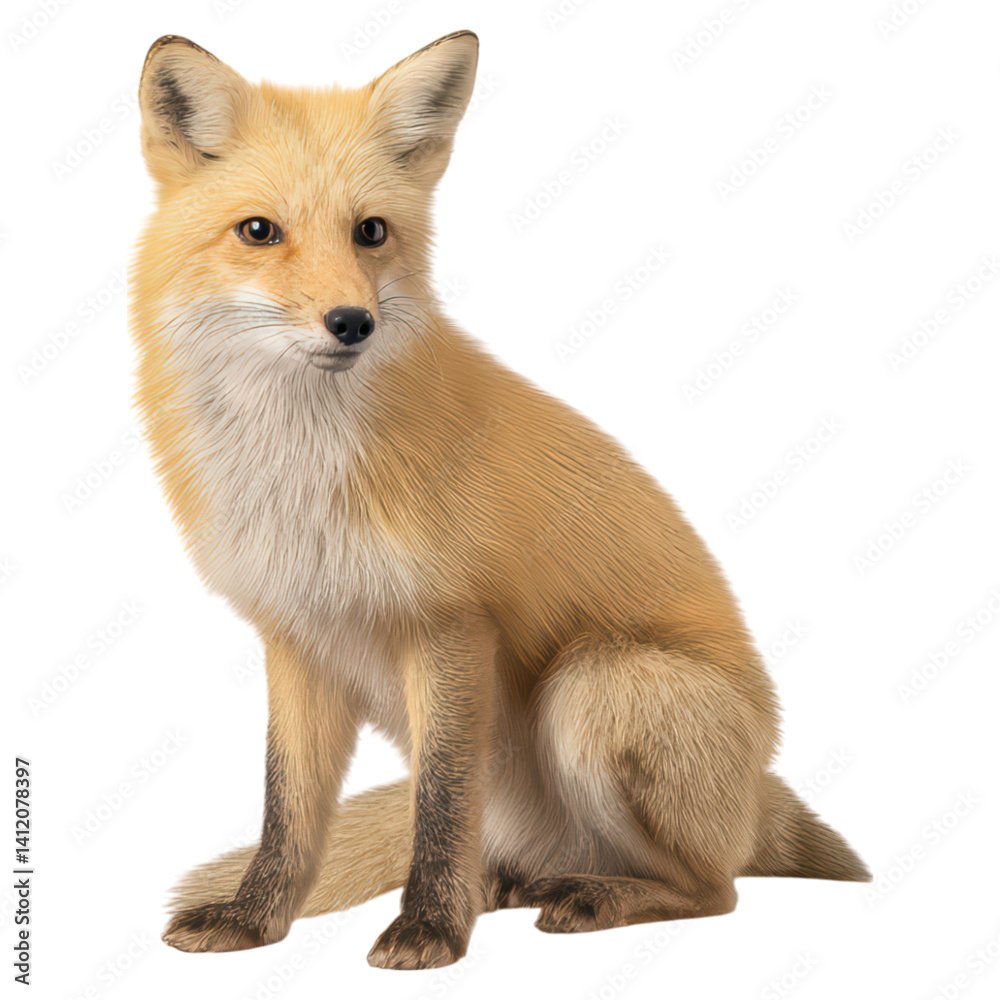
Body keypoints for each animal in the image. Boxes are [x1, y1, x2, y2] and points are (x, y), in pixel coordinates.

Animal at [130, 30, 870, 971]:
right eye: (259, 232)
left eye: (372, 232)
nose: (352, 323)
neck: (299, 474)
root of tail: (761, 792)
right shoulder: (297, 638)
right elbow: (287, 813)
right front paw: (255, 920)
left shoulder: (451, 626)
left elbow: (442, 804)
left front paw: (430, 931)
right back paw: (518, 885)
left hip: (596, 683)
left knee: (717, 888)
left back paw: (593, 897)